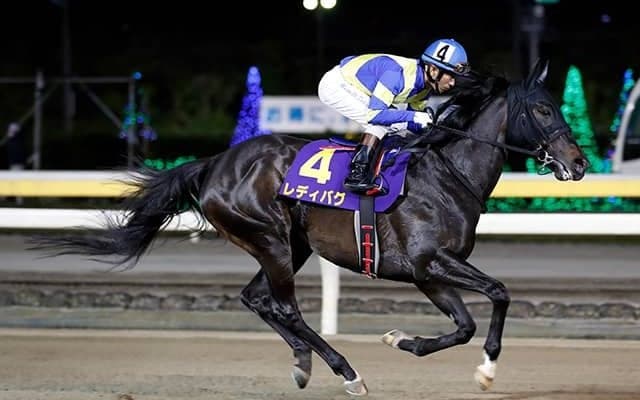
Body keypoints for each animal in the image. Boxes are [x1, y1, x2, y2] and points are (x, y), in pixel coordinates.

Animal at [29, 59, 589, 396]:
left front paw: (404, 341)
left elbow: (465, 324)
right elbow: (498, 293)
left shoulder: (426, 273)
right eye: (543, 108)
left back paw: (304, 362)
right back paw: (347, 372)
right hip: (271, 238)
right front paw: (487, 370)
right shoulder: (431, 261)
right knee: (283, 306)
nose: (580, 164)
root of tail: (213, 164)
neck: (448, 173)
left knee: (257, 299)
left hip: (289, 245)